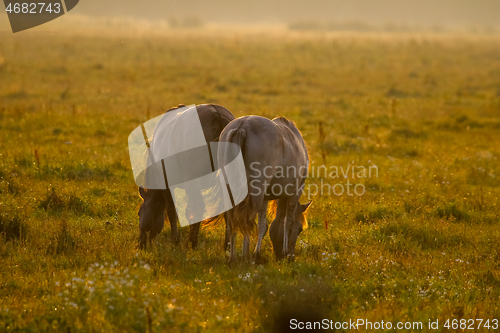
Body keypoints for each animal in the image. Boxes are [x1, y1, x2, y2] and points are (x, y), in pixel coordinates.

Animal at [138, 104, 235, 249]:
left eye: (139, 213)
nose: (140, 243)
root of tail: (216, 114)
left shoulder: (168, 186)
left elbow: (172, 211)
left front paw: (175, 240)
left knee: (197, 207)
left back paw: (192, 243)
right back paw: (227, 245)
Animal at [218, 115, 310, 262]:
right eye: (300, 229)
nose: (290, 256)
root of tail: (242, 126)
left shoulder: (265, 198)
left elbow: (263, 226)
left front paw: (257, 253)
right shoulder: (295, 192)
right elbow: (286, 222)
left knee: (232, 221)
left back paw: (233, 258)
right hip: (255, 194)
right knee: (246, 220)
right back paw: (244, 256)